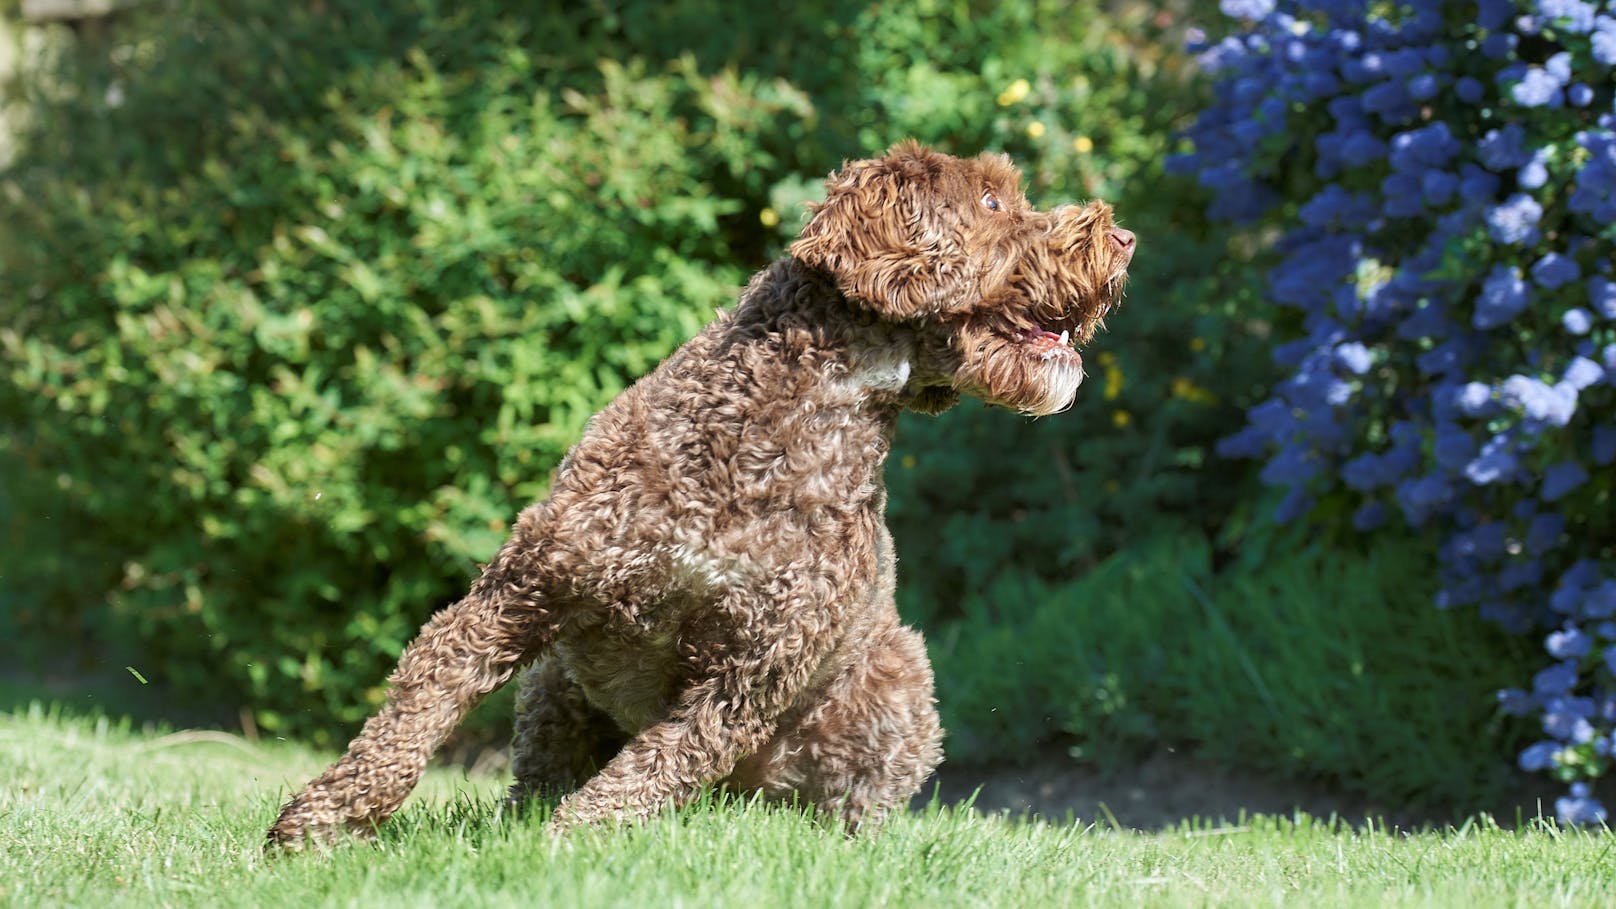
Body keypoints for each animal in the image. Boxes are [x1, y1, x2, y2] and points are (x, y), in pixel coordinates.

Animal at [265, 138, 1131, 847]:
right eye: (991, 201)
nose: (1123, 237)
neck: (784, 427)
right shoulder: (524, 589)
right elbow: (416, 711)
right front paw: (323, 822)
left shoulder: (748, 676)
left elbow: (651, 768)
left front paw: (567, 850)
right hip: (555, 683)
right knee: (533, 777)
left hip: (900, 684)